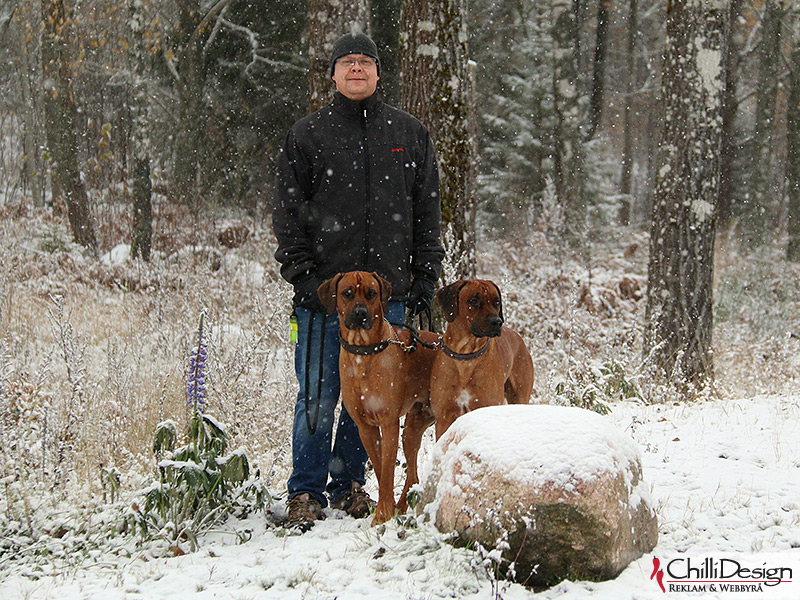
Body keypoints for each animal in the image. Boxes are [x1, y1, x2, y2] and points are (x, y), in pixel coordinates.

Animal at [318, 272, 440, 524]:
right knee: (413, 475)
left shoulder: (388, 422)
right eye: (347, 293)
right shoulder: (365, 427)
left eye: (372, 293)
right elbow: (380, 467)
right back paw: (401, 507)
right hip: (413, 427)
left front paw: (383, 515)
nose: (360, 313)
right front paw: (387, 511)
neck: (363, 353)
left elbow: (386, 472)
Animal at [428, 278, 536, 438]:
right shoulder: (444, 417)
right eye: (473, 300)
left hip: (520, 395)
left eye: (497, 302)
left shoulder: (485, 408)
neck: (466, 354)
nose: (497, 322)